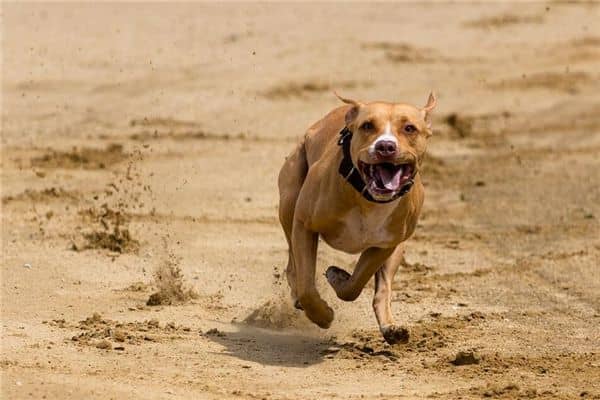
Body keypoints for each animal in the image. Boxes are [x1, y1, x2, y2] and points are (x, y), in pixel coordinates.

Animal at [276, 91, 436, 344]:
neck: (368, 199)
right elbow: (307, 286)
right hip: (289, 202)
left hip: (399, 247)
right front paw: (323, 315)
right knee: (294, 266)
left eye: (409, 128)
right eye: (367, 125)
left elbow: (356, 284)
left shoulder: (384, 246)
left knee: (383, 290)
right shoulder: (304, 225)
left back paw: (391, 328)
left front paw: (338, 278)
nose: (386, 146)